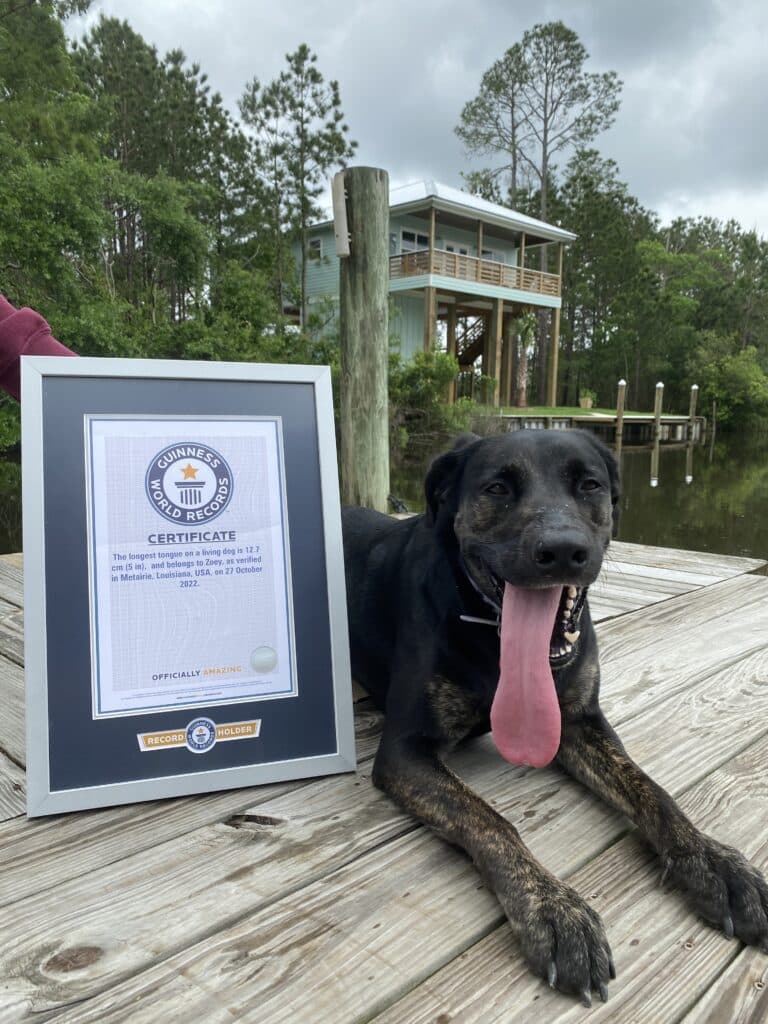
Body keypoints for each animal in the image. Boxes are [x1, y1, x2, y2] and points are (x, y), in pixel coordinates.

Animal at [342, 428, 768, 1003]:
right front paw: (553, 909)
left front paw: (712, 860)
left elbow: (651, 790)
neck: (493, 640)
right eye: (497, 487)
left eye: (589, 484)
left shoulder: (581, 722)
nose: (563, 549)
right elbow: (489, 818)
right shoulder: (406, 751)